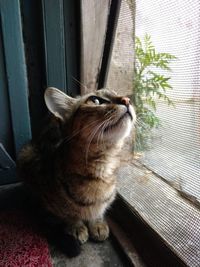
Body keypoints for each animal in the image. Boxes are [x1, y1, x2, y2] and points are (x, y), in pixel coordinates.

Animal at [17, 88, 136, 258]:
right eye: (95, 100)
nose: (127, 100)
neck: (101, 168)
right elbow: (69, 214)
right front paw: (76, 227)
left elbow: (100, 210)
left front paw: (97, 223)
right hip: (26, 155)